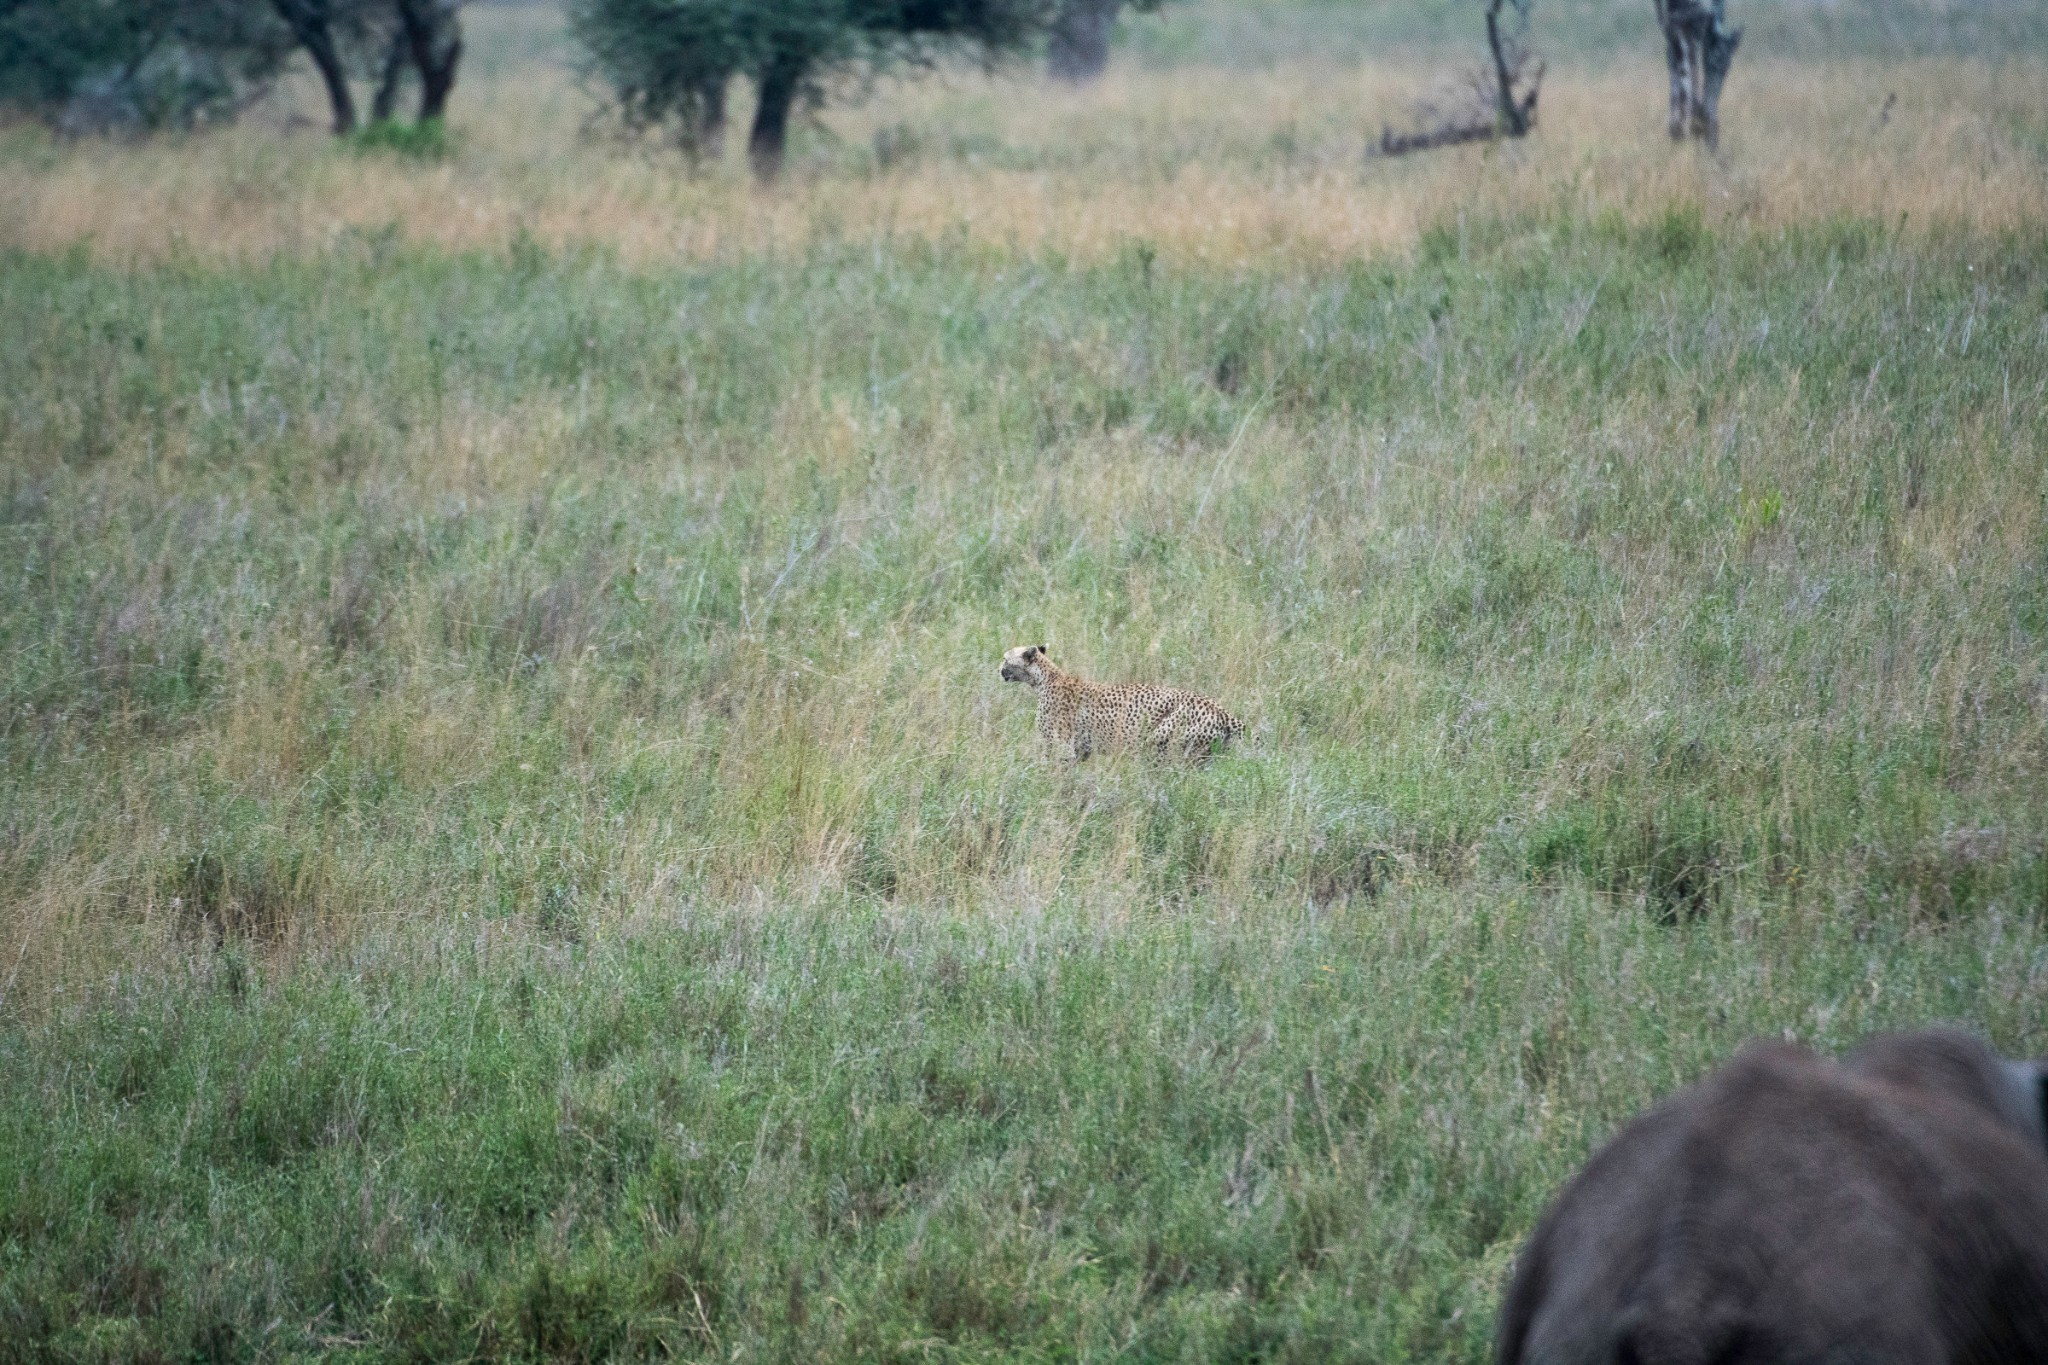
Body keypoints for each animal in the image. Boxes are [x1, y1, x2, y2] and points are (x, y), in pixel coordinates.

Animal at [995, 646, 1236, 765]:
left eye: (1006, 658)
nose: (999, 668)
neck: (1045, 678)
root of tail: (1222, 711)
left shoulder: (1062, 746)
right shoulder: (1080, 750)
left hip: (1162, 746)